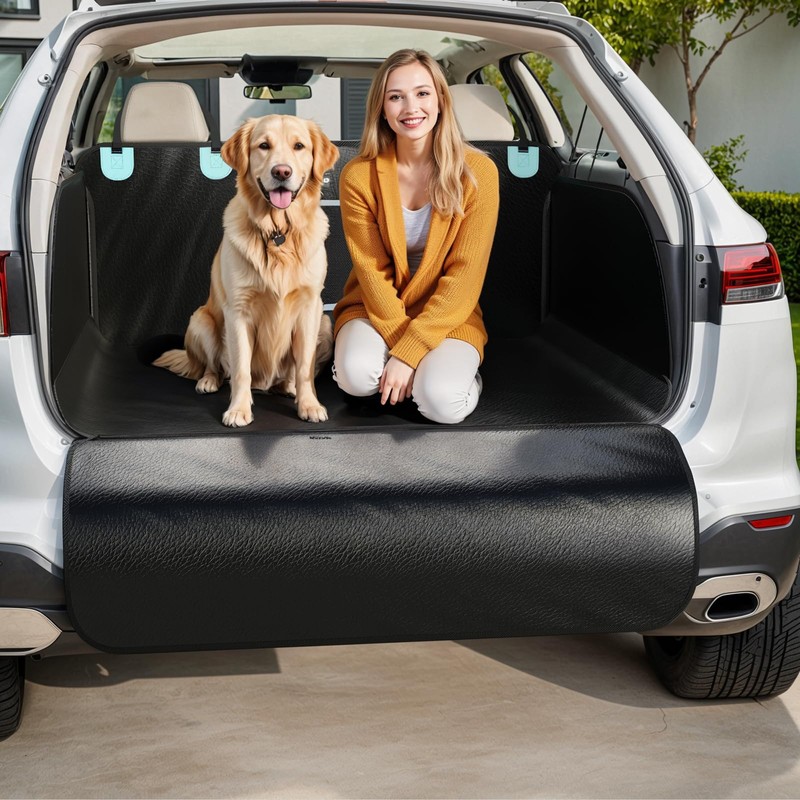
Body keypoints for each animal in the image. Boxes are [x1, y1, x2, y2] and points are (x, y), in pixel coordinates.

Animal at [153, 115, 339, 426]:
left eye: (299, 146)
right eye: (263, 146)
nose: (281, 171)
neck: (278, 232)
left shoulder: (310, 305)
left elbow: (303, 368)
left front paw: (309, 405)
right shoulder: (238, 311)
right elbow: (241, 369)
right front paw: (238, 410)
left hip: (324, 325)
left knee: (291, 373)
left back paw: (289, 387)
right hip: (201, 321)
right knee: (215, 367)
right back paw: (208, 381)